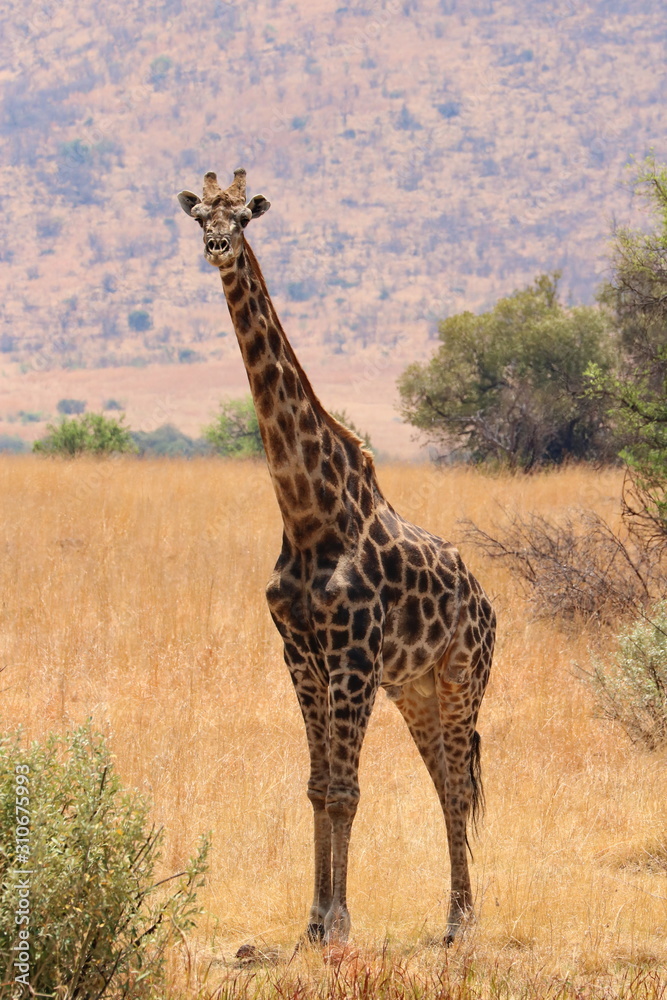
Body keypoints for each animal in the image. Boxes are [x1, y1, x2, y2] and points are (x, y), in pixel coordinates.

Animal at [177, 168, 496, 945]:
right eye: (199, 215)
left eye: (244, 217)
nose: (217, 245)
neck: (304, 511)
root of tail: (488, 605)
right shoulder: (300, 653)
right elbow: (319, 786)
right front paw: (313, 920)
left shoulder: (352, 653)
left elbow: (348, 790)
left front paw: (341, 923)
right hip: (414, 688)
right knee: (444, 780)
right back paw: (453, 913)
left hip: (460, 677)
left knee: (458, 784)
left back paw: (461, 919)